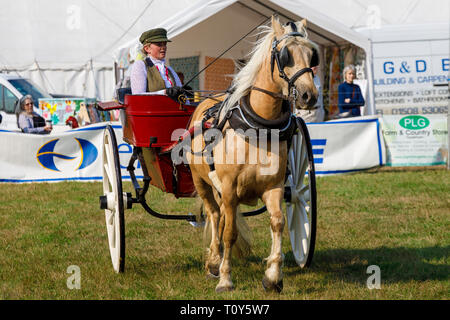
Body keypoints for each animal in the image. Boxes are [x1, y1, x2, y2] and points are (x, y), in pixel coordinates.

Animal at [186, 16, 320, 292]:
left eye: (312, 55)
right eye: (285, 55)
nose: (309, 95)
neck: (257, 128)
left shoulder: (274, 187)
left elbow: (277, 222)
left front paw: (273, 277)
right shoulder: (228, 188)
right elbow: (229, 232)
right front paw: (225, 279)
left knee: (222, 217)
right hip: (201, 182)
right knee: (215, 215)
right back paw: (214, 262)